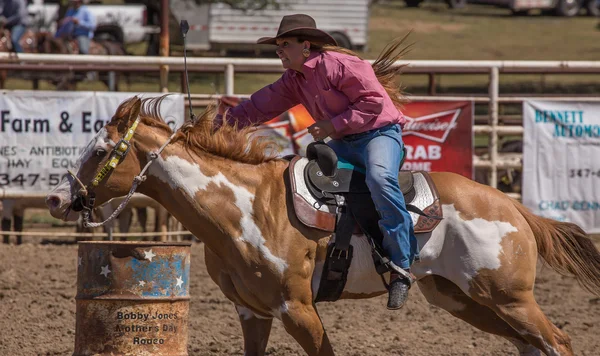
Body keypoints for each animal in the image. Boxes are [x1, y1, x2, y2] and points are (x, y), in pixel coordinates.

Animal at [45, 95, 600, 356]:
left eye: (101, 150)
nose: (56, 198)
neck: (245, 207)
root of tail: (514, 208)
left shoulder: (297, 308)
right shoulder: (253, 312)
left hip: (509, 297)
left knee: (557, 341)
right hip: (460, 298)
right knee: (530, 344)